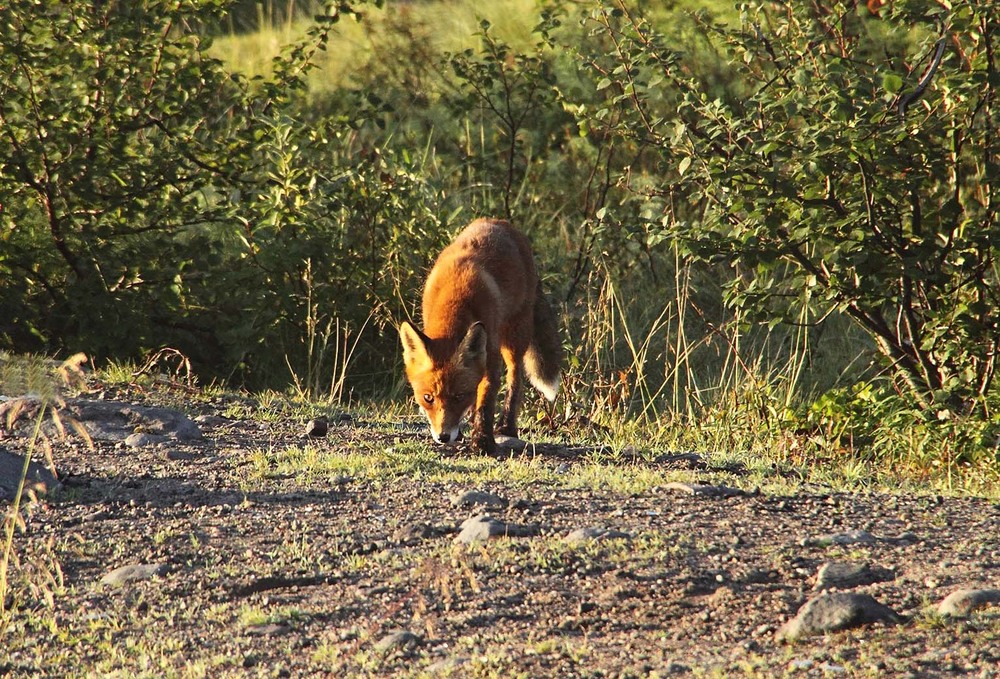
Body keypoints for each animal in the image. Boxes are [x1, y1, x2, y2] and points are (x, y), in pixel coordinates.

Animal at [402, 220, 568, 454]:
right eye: (428, 398)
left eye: (458, 396)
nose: (443, 437)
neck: (453, 296)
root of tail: (498, 221)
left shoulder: (490, 357)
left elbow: (486, 403)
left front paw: (482, 441)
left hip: (515, 335)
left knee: (515, 379)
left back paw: (507, 426)